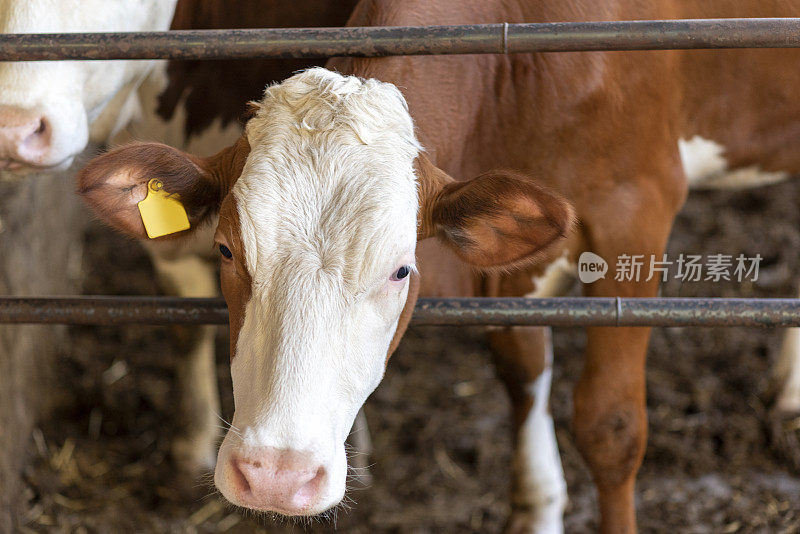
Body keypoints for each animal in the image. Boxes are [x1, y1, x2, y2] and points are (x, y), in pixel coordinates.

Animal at [76, 1, 800, 534]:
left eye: (402, 269)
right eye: (227, 249)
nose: (277, 476)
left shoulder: (637, 208)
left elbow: (611, 426)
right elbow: (521, 369)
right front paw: (537, 508)